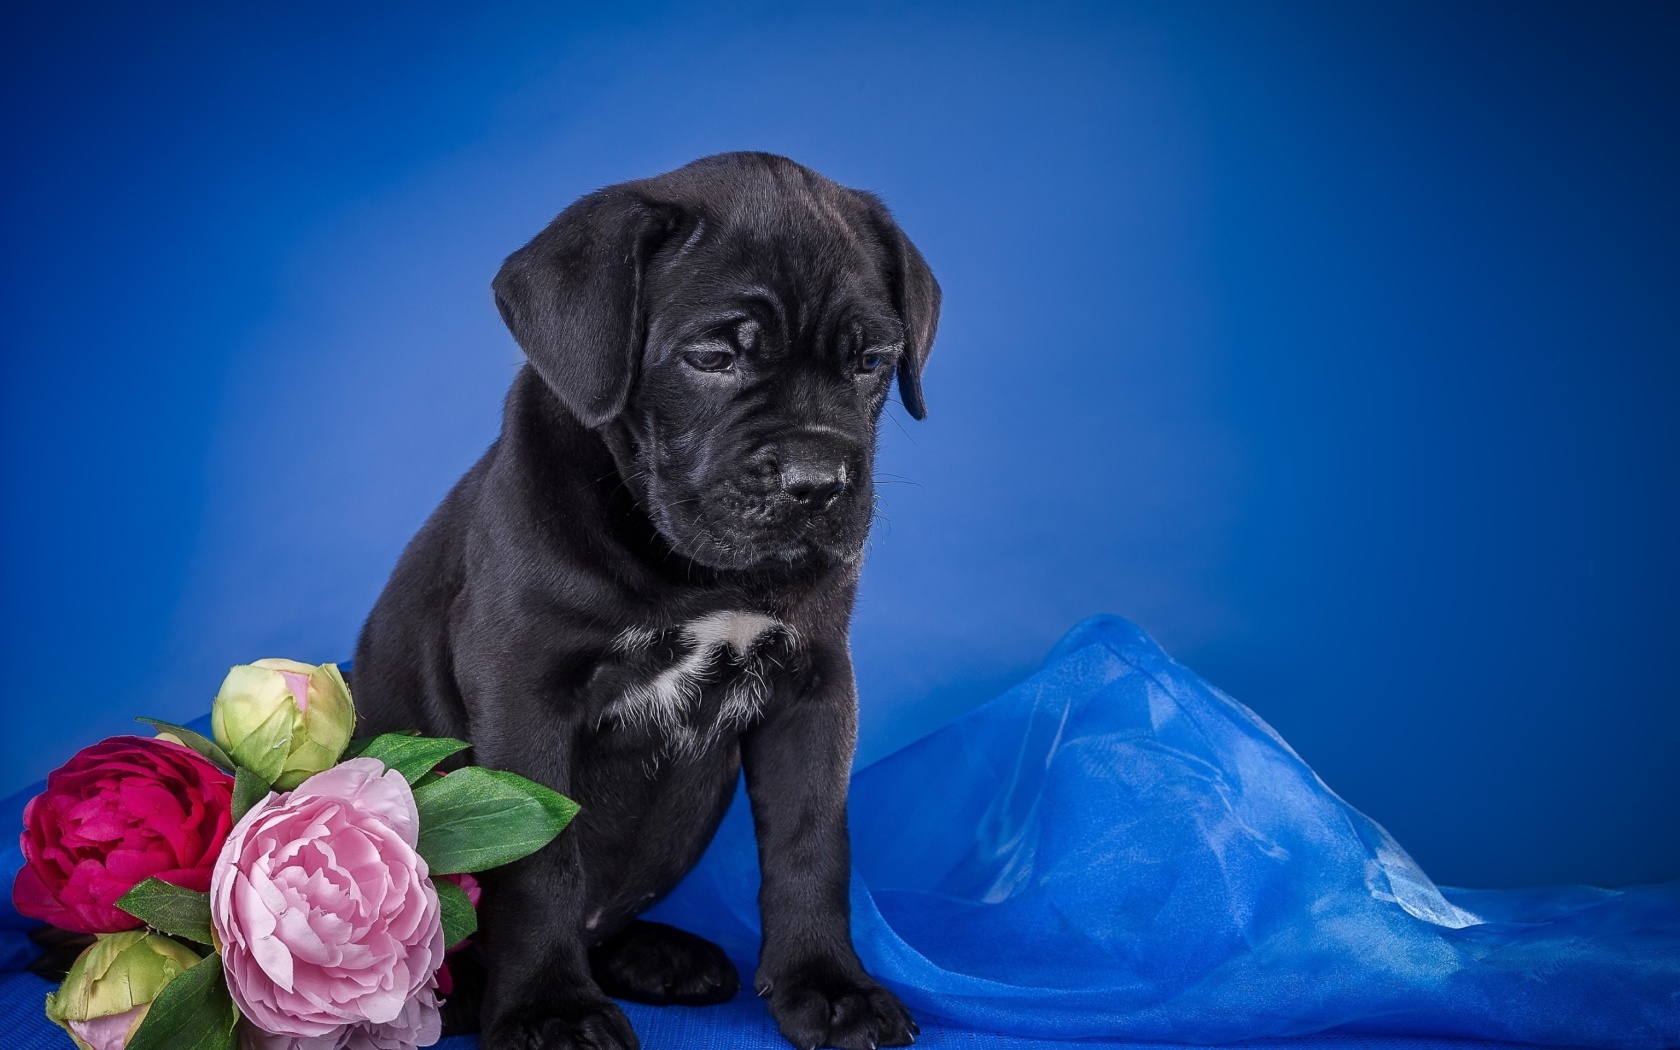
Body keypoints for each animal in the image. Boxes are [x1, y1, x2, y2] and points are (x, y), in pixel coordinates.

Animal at [352, 149, 940, 1048]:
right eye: (713, 358)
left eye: (871, 362)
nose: (815, 483)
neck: (692, 570)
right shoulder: (525, 692)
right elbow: (540, 862)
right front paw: (551, 1008)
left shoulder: (813, 686)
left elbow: (812, 842)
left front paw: (829, 985)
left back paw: (659, 955)